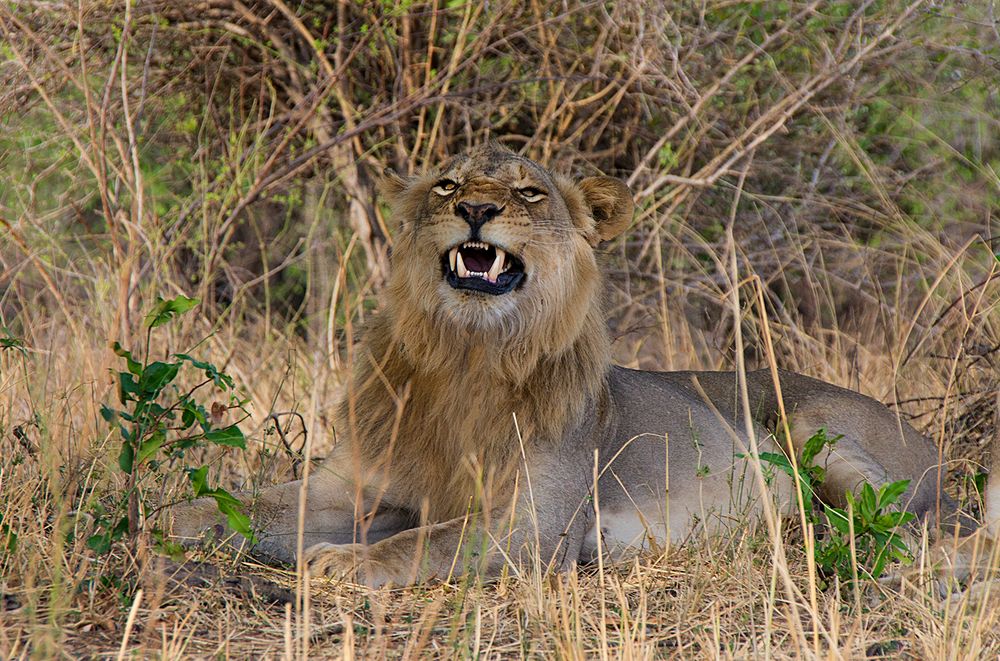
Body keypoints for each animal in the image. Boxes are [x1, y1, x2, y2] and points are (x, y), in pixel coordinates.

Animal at [168, 142, 996, 584]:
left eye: (529, 192)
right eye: (448, 183)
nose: (476, 210)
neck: (466, 356)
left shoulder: (534, 526)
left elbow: (421, 540)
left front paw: (340, 564)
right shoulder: (359, 485)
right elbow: (250, 503)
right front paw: (169, 517)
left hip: (824, 429)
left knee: (933, 531)